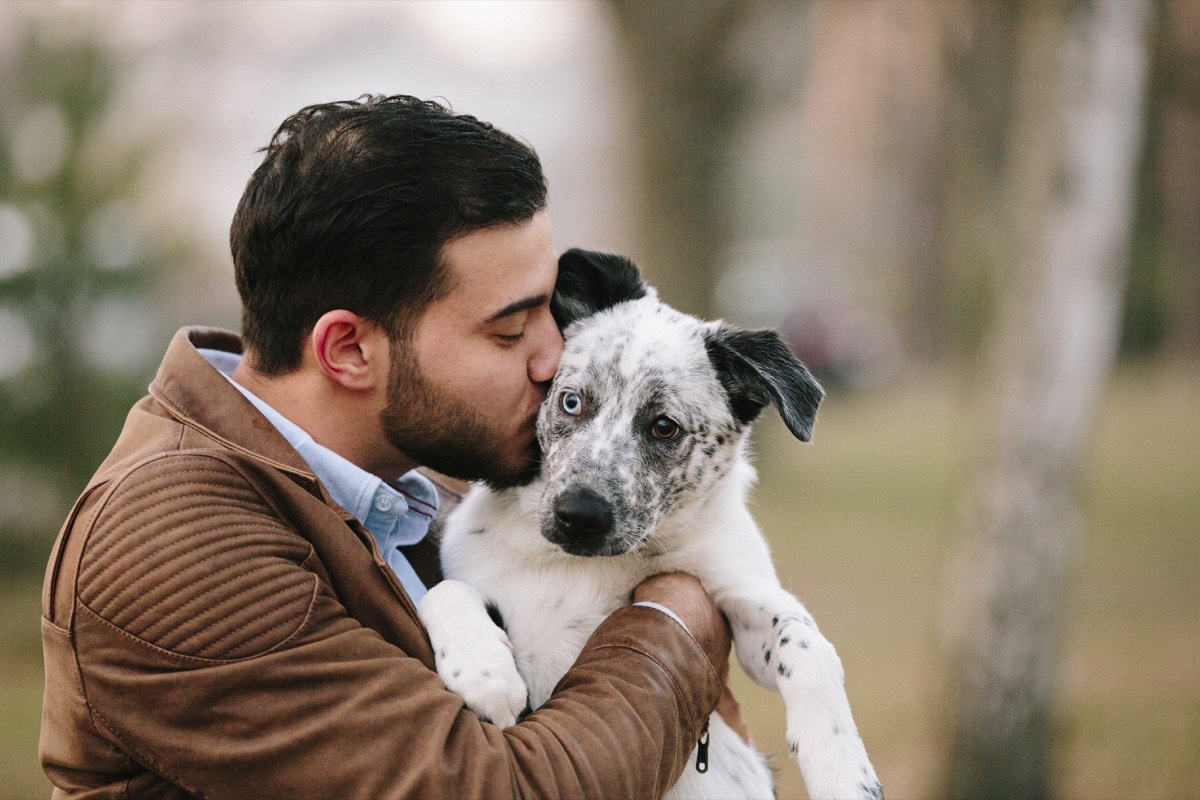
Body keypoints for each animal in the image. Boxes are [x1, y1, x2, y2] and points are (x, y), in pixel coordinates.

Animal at [420, 250, 883, 800]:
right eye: (571, 401)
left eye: (664, 427)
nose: (578, 515)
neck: (585, 566)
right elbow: (444, 590)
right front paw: (483, 670)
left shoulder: (736, 591)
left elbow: (809, 647)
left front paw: (840, 767)